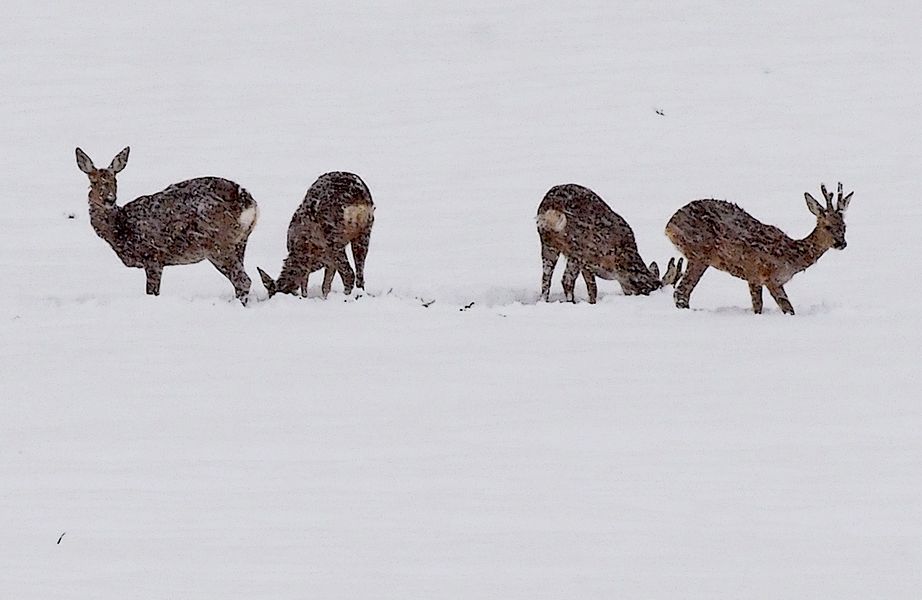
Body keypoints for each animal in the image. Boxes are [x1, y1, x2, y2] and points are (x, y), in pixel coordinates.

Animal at [72, 146, 256, 304]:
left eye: (114, 180)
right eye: (93, 182)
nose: (110, 199)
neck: (121, 228)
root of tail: (248, 202)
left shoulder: (152, 255)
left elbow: (152, 293)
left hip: (217, 243)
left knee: (243, 280)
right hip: (240, 242)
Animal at [532, 183, 684, 304]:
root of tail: (553, 205)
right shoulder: (589, 259)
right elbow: (593, 288)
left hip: (548, 243)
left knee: (547, 279)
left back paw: (546, 301)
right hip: (577, 249)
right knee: (567, 280)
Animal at [660, 182, 856, 314]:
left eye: (844, 226)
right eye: (827, 226)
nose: (842, 243)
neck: (792, 256)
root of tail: (669, 225)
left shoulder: (753, 277)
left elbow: (758, 306)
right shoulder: (770, 276)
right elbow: (788, 308)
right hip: (700, 254)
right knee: (681, 292)